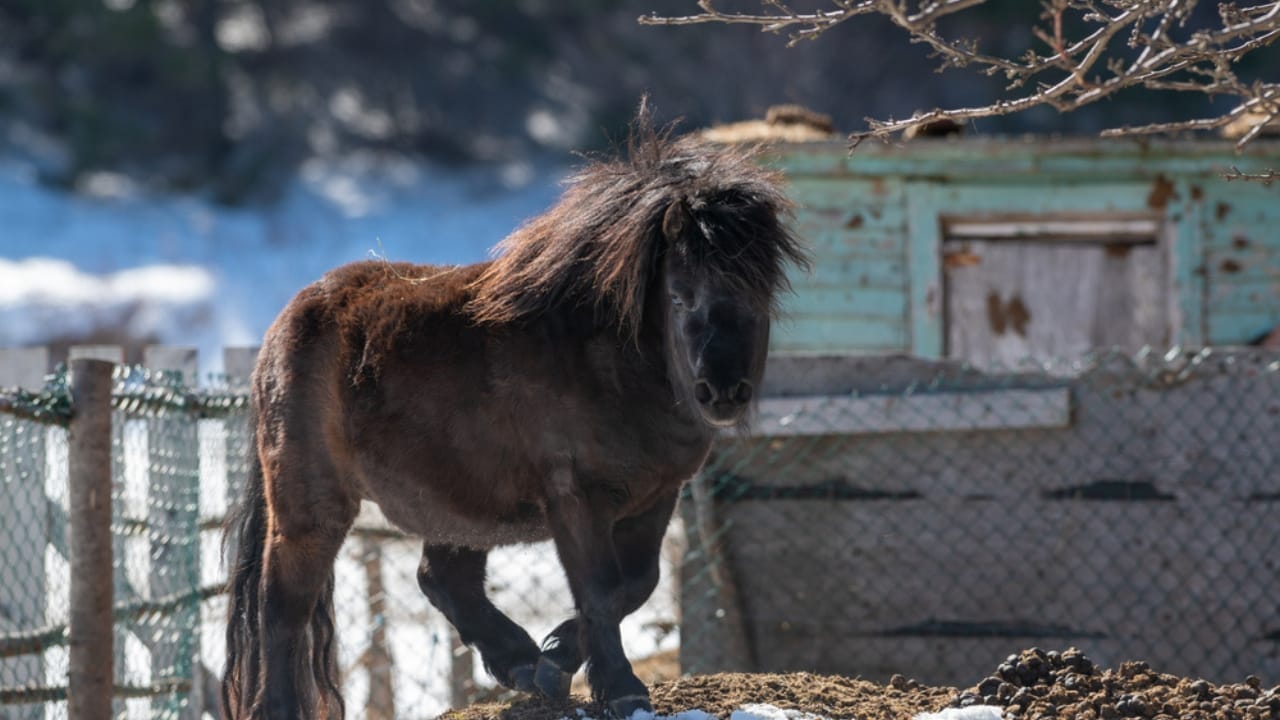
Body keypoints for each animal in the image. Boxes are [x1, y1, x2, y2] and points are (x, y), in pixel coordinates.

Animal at [220, 110, 808, 720]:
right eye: (679, 297)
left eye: (760, 297)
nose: (722, 392)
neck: (609, 361)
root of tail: (282, 325)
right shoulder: (576, 498)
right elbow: (601, 589)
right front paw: (620, 687)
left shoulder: (657, 496)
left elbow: (638, 582)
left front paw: (556, 657)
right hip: (312, 505)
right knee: (282, 604)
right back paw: (276, 706)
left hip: (453, 502)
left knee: (441, 580)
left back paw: (520, 661)